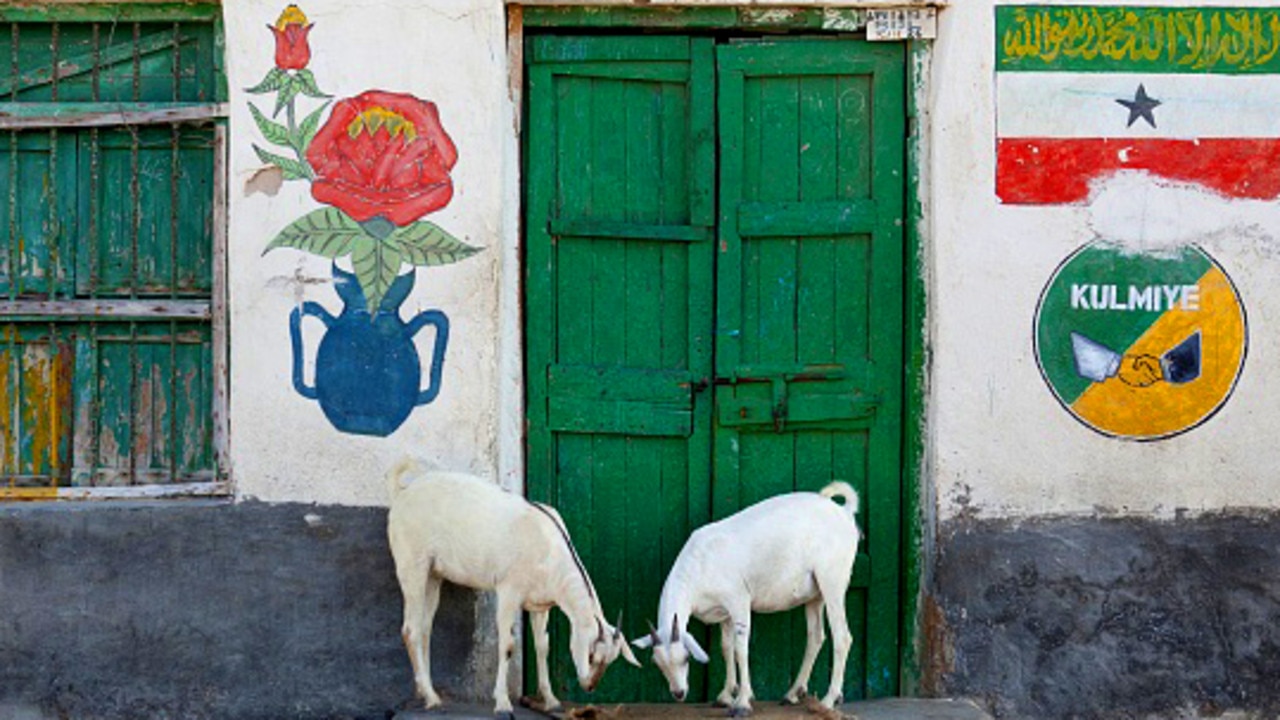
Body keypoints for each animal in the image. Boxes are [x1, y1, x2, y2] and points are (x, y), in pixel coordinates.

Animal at [381, 456, 637, 712]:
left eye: (611, 660)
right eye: (592, 656)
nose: (589, 686)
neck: (547, 547)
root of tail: (401, 494)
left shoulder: (541, 603)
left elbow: (542, 646)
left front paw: (551, 701)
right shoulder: (508, 591)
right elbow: (507, 644)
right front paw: (503, 702)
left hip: (433, 575)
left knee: (425, 628)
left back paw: (425, 691)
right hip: (411, 563)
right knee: (411, 629)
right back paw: (431, 697)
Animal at [632, 481, 860, 712]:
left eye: (686, 658)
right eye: (657, 663)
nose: (679, 693)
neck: (701, 562)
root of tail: (844, 512)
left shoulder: (738, 601)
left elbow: (740, 649)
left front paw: (742, 702)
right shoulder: (723, 612)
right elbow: (726, 648)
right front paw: (725, 696)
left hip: (832, 580)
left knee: (842, 637)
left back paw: (829, 700)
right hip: (815, 594)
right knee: (816, 636)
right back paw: (792, 694)